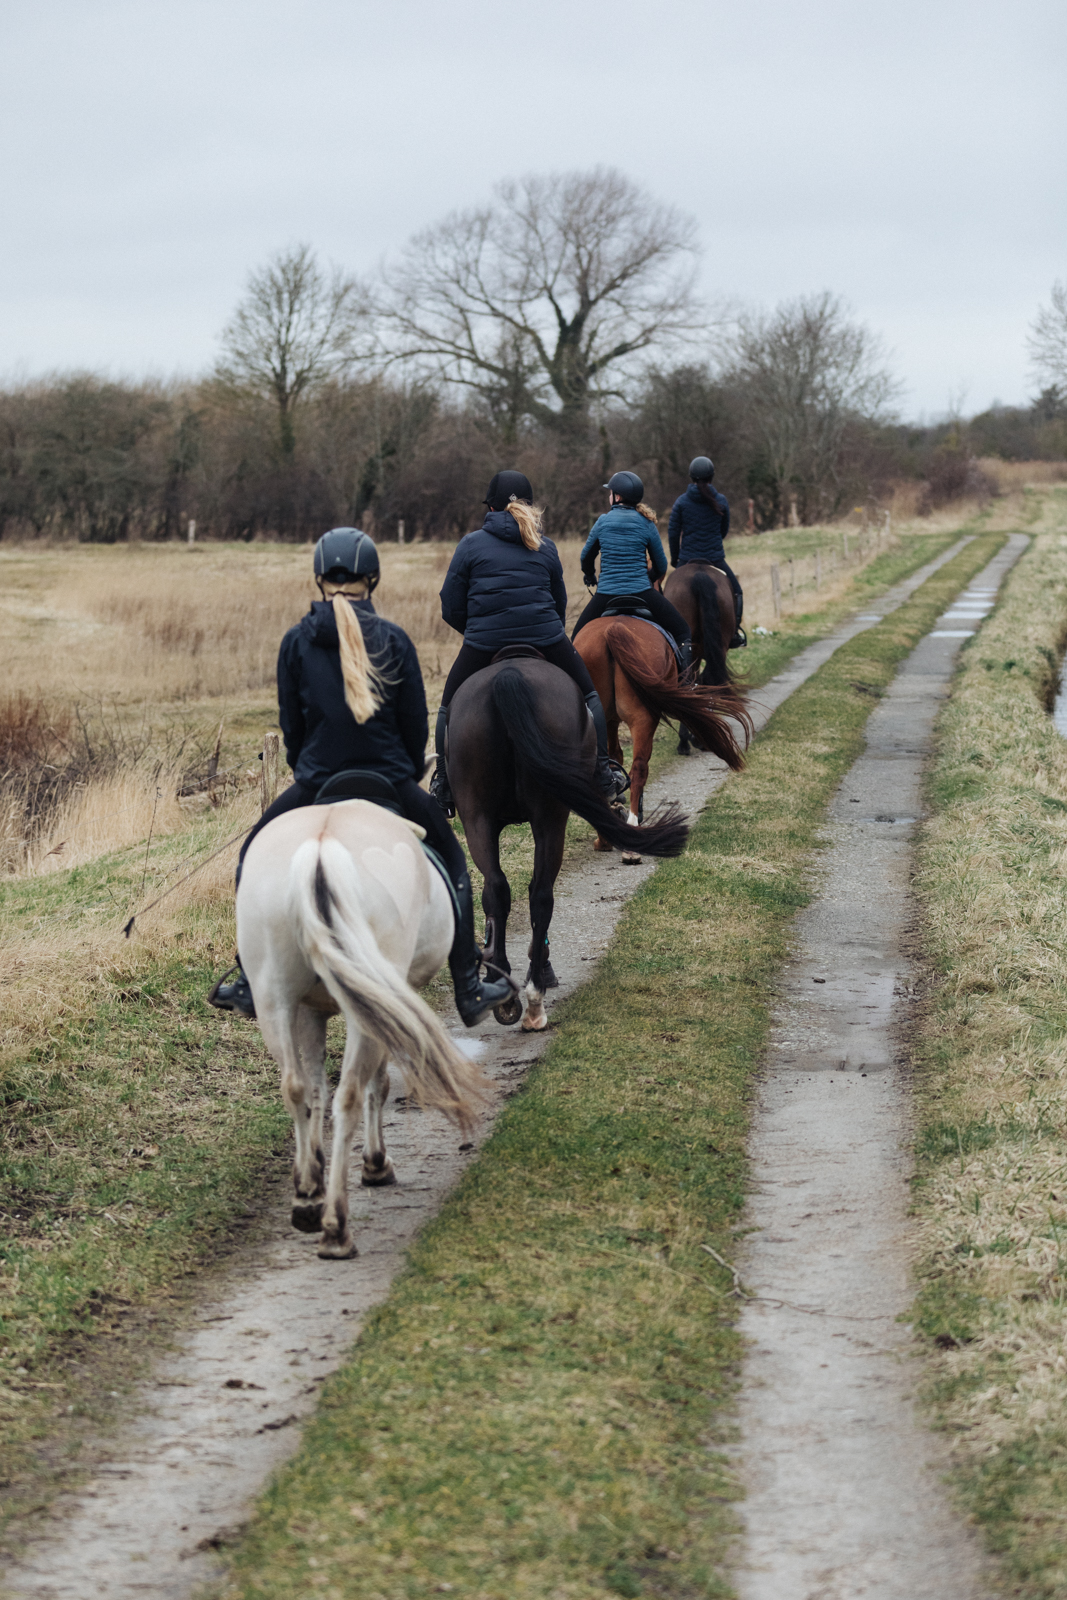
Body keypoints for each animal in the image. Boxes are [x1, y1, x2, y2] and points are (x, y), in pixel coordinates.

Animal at [237, 799, 487, 1260]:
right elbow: (377, 1084)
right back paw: (337, 1227)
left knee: (294, 1086)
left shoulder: (309, 1010)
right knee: (350, 1093)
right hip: (364, 1004)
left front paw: (312, 1178)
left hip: (273, 998)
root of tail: (319, 854)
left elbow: (314, 1090)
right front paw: (374, 1163)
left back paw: (308, 1200)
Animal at [445, 653, 690, 1032]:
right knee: (541, 894)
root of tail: (508, 675)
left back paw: (508, 995)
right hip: (549, 816)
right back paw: (535, 999)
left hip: (478, 817)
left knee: (500, 888)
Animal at [574, 614, 751, 853]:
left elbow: (614, 758)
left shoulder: (609, 720)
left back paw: (611, 835)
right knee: (639, 768)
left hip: (632, 717)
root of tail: (613, 628)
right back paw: (628, 829)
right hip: (643, 717)